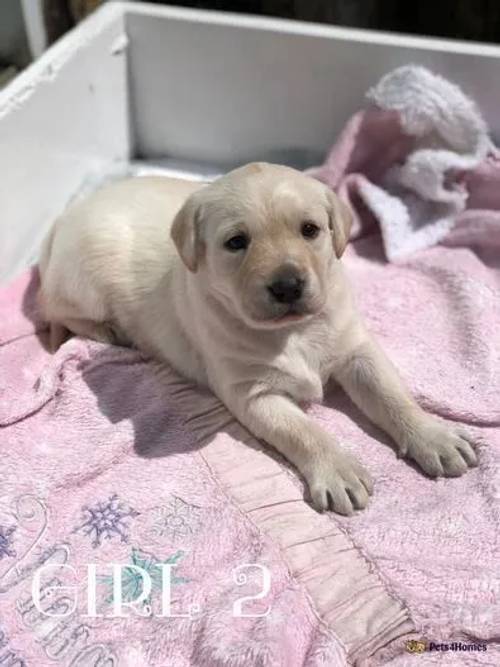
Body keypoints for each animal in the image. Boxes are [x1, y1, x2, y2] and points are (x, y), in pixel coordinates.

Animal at [38, 163, 476, 516]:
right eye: (236, 242)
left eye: (310, 230)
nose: (287, 286)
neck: (291, 332)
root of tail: (62, 221)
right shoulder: (251, 392)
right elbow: (305, 431)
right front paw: (338, 470)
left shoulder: (356, 348)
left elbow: (391, 394)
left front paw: (433, 436)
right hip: (81, 286)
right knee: (54, 311)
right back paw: (110, 331)